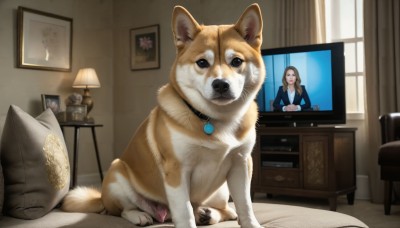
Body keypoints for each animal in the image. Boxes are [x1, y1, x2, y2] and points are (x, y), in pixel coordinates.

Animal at [62, 3, 266, 228]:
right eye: (202, 62)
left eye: (236, 61)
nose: (221, 84)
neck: (215, 119)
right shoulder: (177, 170)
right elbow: (184, 212)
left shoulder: (241, 163)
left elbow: (245, 205)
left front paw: (251, 223)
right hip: (117, 173)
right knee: (122, 210)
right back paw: (140, 215)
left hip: (220, 192)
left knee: (224, 210)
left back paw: (208, 213)